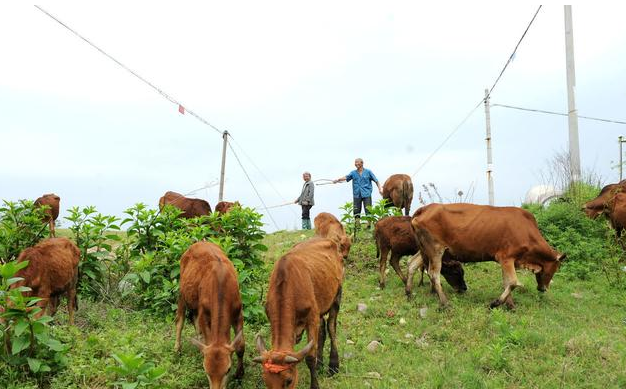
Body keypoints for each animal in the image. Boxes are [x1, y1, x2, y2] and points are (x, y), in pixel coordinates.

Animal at [176, 241, 246, 386]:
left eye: (228, 369)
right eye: (206, 371)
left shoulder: (238, 313)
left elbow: (240, 345)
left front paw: (239, 373)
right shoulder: (204, 315)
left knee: (194, 321)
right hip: (182, 293)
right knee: (180, 321)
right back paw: (177, 349)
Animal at [252, 236, 342, 388]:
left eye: (288, 380)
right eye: (266, 381)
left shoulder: (312, 318)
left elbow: (310, 357)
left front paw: (315, 385)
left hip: (337, 296)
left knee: (331, 328)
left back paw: (333, 366)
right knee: (322, 331)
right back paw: (320, 365)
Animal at [412, 203, 564, 310]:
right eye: (555, 269)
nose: (543, 289)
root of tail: (425, 208)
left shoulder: (505, 260)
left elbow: (506, 283)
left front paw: (510, 306)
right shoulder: (507, 258)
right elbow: (513, 282)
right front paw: (495, 303)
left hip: (425, 250)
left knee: (414, 265)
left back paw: (410, 292)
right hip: (436, 250)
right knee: (433, 274)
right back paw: (445, 303)